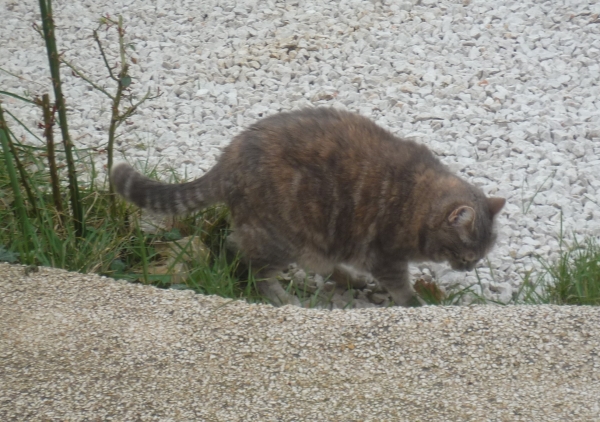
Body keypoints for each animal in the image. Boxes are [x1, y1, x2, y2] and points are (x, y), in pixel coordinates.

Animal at [110, 108, 504, 306]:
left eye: (479, 257)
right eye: (467, 255)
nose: (469, 269)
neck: (419, 200)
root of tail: (229, 158)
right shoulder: (386, 255)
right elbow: (401, 287)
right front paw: (416, 305)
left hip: (317, 235)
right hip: (283, 236)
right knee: (251, 265)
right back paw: (281, 296)